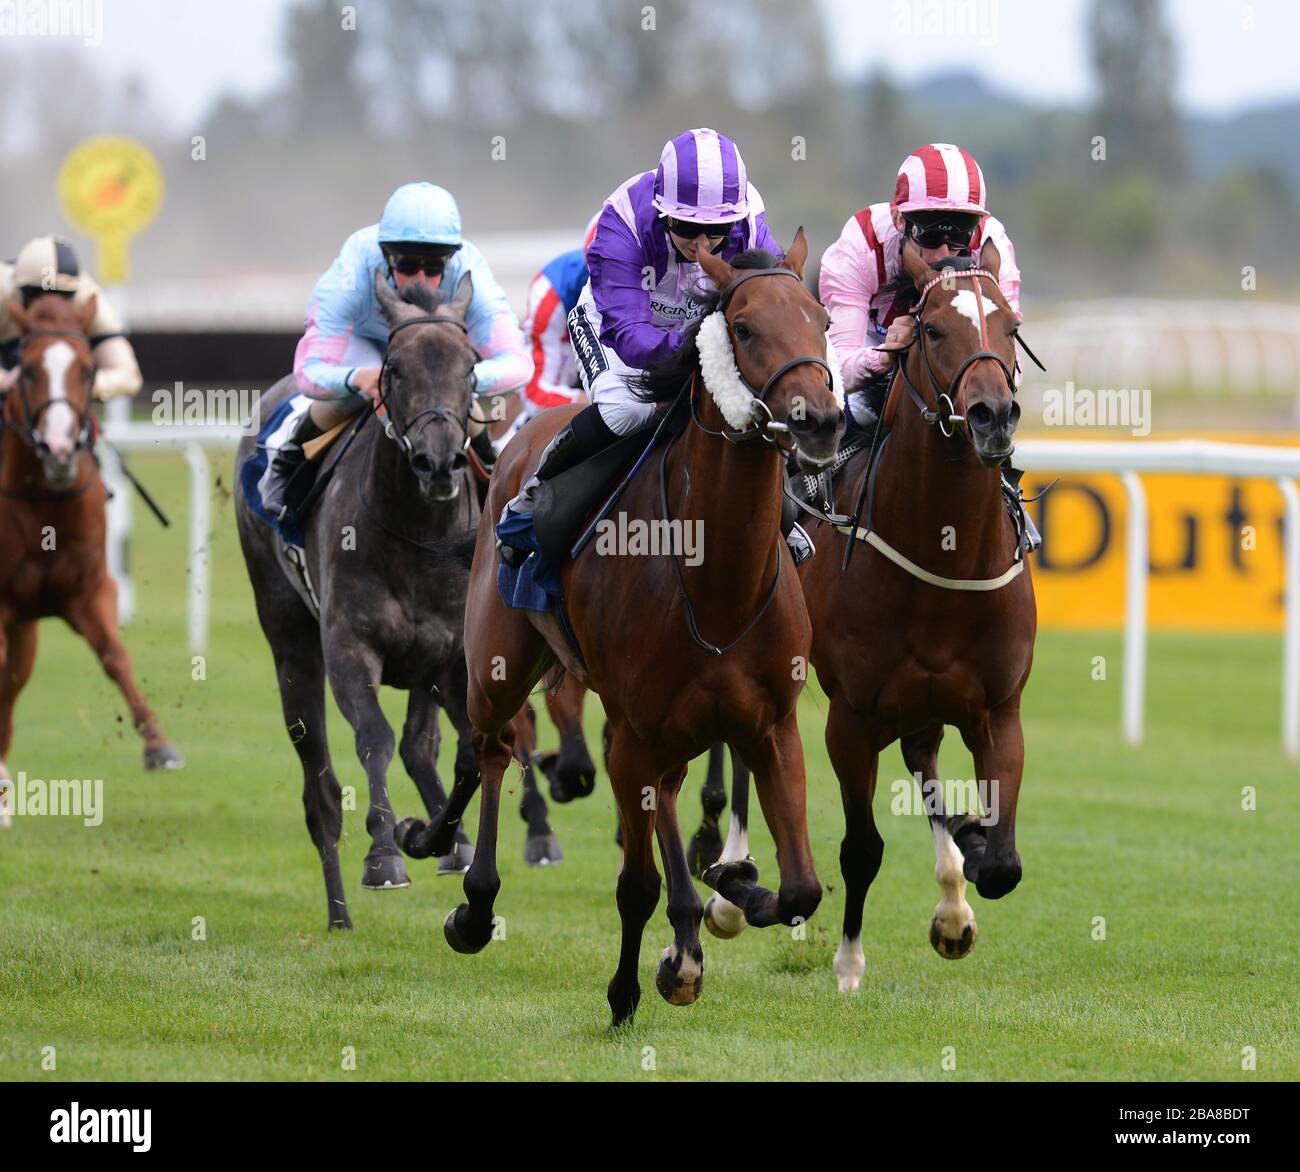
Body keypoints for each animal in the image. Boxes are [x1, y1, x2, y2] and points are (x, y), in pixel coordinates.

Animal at [0, 293, 183, 826]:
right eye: (28, 370)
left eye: (87, 370)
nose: (60, 448)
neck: (43, 504)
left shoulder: (90, 590)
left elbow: (115, 656)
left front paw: (158, 745)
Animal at [405, 231, 842, 1029]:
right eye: (744, 328)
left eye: (822, 320)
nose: (820, 422)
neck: (716, 580)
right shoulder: (635, 732)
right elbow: (634, 887)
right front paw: (626, 991)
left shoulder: (769, 723)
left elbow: (798, 889)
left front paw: (730, 888)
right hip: (502, 661)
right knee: (488, 749)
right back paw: (465, 889)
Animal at [795, 239, 1029, 992]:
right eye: (931, 330)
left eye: (1010, 325)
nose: (991, 415)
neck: (944, 559)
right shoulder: (852, 716)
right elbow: (861, 848)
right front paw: (847, 964)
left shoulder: (997, 709)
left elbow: (1002, 859)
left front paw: (972, 858)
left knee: (924, 763)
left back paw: (955, 902)